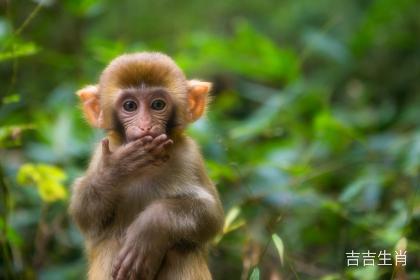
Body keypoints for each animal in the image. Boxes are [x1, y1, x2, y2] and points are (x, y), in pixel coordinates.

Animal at [69, 52, 223, 280]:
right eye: (130, 106)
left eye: (158, 105)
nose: (145, 126)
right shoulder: (101, 154)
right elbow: (84, 213)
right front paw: (118, 167)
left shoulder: (190, 156)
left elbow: (211, 215)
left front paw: (149, 229)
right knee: (110, 243)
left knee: (182, 251)